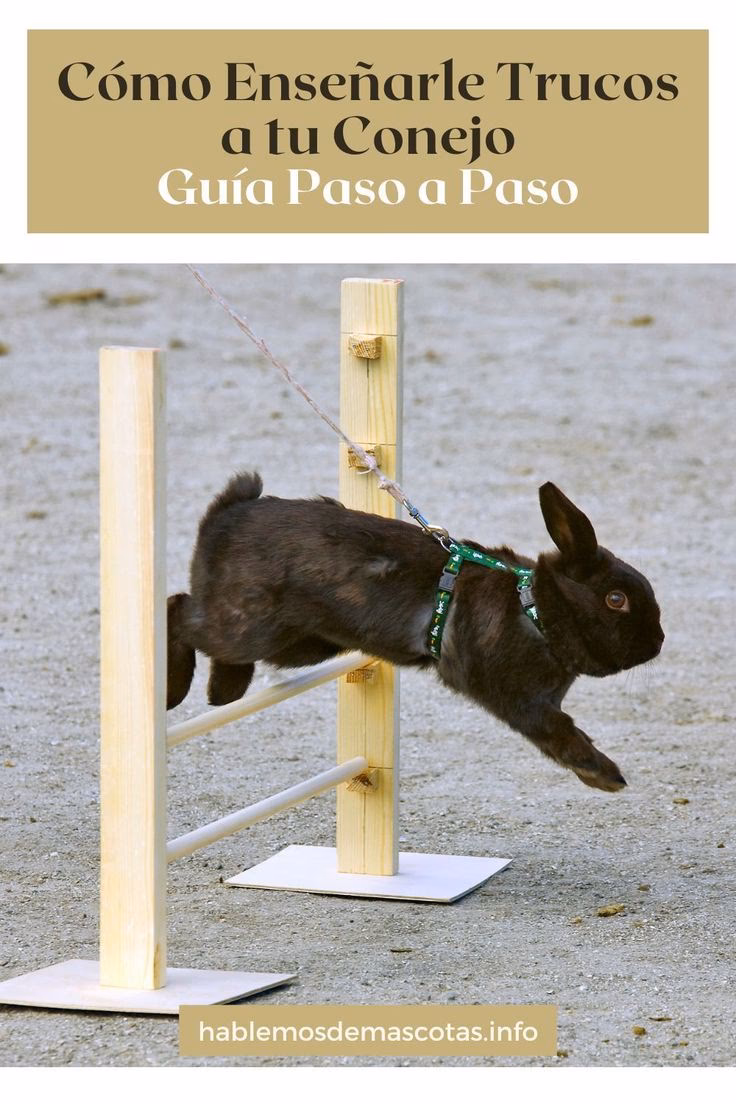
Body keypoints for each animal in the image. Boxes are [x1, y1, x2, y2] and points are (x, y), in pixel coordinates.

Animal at [167, 472, 664, 793]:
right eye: (615, 600)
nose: (657, 642)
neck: (534, 608)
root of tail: (228, 514)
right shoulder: (524, 702)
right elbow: (562, 734)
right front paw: (607, 778)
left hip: (303, 644)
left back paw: (222, 692)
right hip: (248, 625)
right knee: (179, 611)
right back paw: (176, 692)